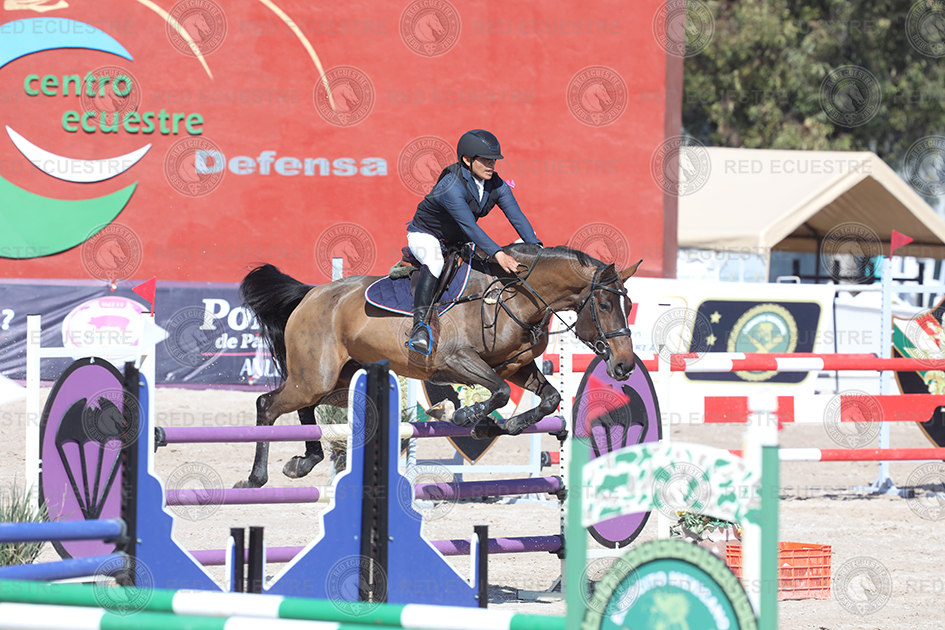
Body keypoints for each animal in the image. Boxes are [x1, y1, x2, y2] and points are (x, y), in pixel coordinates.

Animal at [235, 243, 641, 489]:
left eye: (628, 304)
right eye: (605, 305)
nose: (624, 366)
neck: (515, 296)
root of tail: (313, 293)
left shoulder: (515, 366)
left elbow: (548, 398)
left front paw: (496, 426)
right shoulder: (457, 360)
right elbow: (498, 392)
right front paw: (467, 418)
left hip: (338, 381)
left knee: (306, 407)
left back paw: (305, 460)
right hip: (315, 376)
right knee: (267, 404)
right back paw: (256, 478)